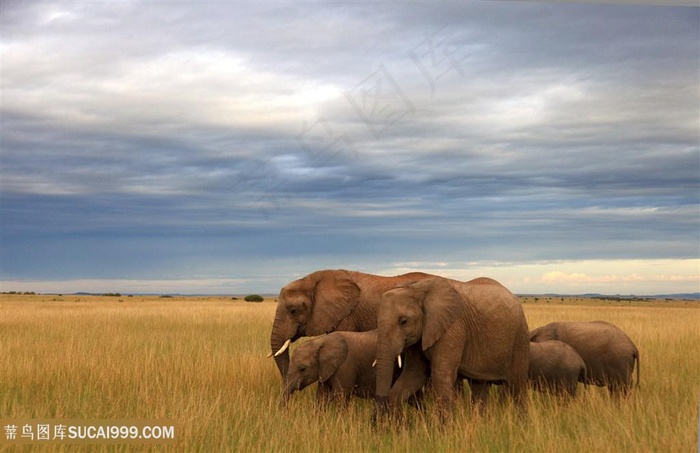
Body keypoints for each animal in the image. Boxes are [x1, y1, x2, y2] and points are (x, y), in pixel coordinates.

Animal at [374, 274, 528, 414]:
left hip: (519, 338)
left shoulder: (452, 328)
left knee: (517, 388)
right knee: (479, 387)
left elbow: (441, 376)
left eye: (404, 321)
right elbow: (414, 373)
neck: (417, 287)